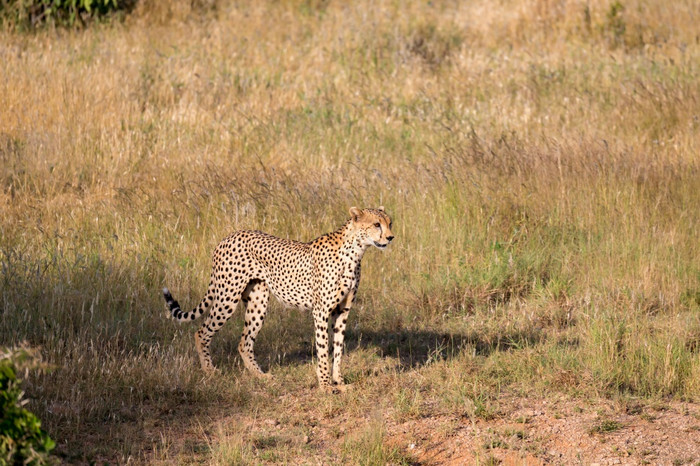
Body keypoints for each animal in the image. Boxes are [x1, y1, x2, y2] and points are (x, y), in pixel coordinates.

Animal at [163, 208, 394, 390]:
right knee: (202, 332)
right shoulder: (321, 311)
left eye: (389, 223)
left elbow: (337, 348)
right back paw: (210, 370)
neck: (355, 251)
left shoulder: (342, 311)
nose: (391, 237)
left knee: (244, 342)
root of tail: (229, 235)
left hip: (257, 302)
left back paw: (260, 376)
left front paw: (339, 381)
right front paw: (325, 385)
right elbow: (323, 348)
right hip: (227, 296)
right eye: (376, 224)